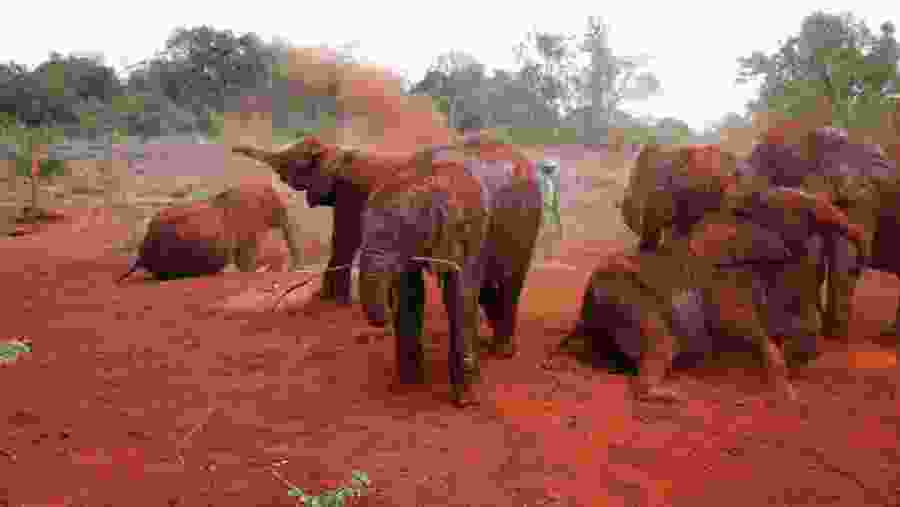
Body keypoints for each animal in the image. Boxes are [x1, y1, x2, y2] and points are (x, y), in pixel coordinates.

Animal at [117, 182, 302, 282]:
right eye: (278, 208)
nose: (293, 268)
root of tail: (141, 255)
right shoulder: (248, 224)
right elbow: (245, 261)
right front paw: (261, 269)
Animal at [564, 185, 866, 402]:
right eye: (797, 211)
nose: (861, 262)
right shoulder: (725, 281)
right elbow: (741, 325)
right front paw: (790, 398)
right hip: (624, 296)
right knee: (663, 341)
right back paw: (673, 396)